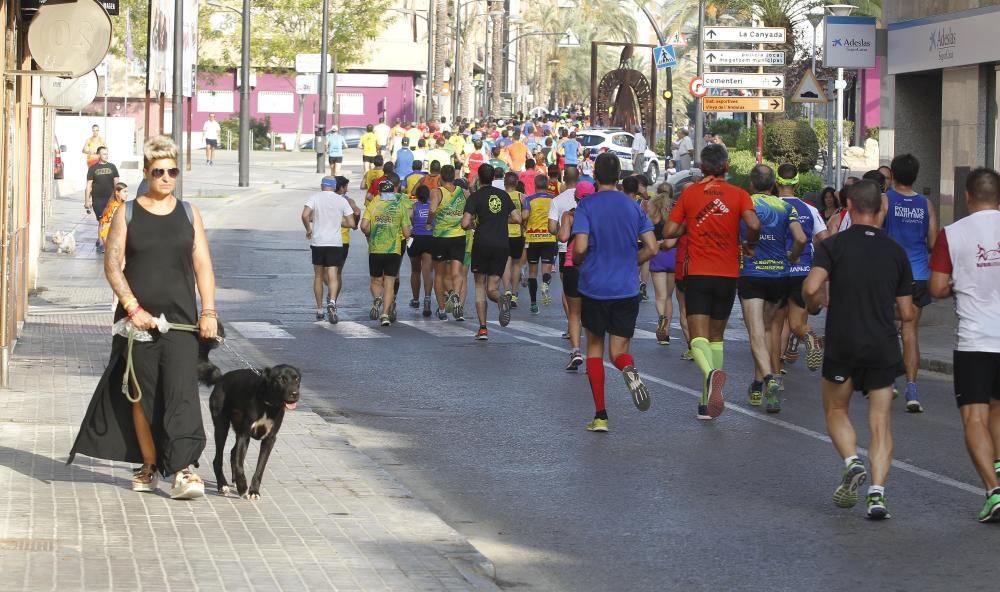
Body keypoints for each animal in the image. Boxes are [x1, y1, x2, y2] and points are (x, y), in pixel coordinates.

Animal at [197, 340, 300, 498]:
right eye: (281, 379)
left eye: (297, 378)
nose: (295, 394)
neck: (268, 403)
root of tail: (222, 378)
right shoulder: (244, 435)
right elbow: (240, 465)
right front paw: (242, 487)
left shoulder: (270, 439)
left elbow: (260, 468)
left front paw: (253, 491)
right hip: (221, 426)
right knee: (218, 458)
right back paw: (223, 485)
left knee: (232, 453)